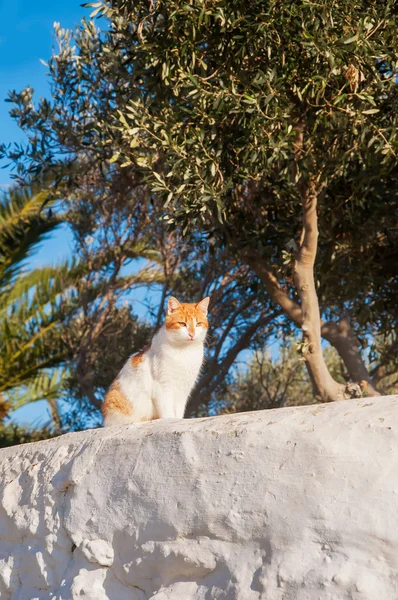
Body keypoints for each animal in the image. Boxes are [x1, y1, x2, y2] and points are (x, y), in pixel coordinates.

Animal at [101, 296, 210, 426]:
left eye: (198, 324)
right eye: (182, 324)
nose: (192, 334)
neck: (185, 351)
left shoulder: (183, 390)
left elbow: (178, 412)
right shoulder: (162, 386)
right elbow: (168, 413)